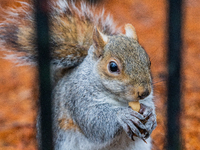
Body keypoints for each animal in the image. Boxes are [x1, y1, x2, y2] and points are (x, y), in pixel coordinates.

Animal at [0, 0, 156, 150]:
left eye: (148, 61)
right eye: (113, 67)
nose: (144, 92)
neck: (119, 99)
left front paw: (151, 116)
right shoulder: (77, 96)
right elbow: (93, 121)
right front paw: (123, 115)